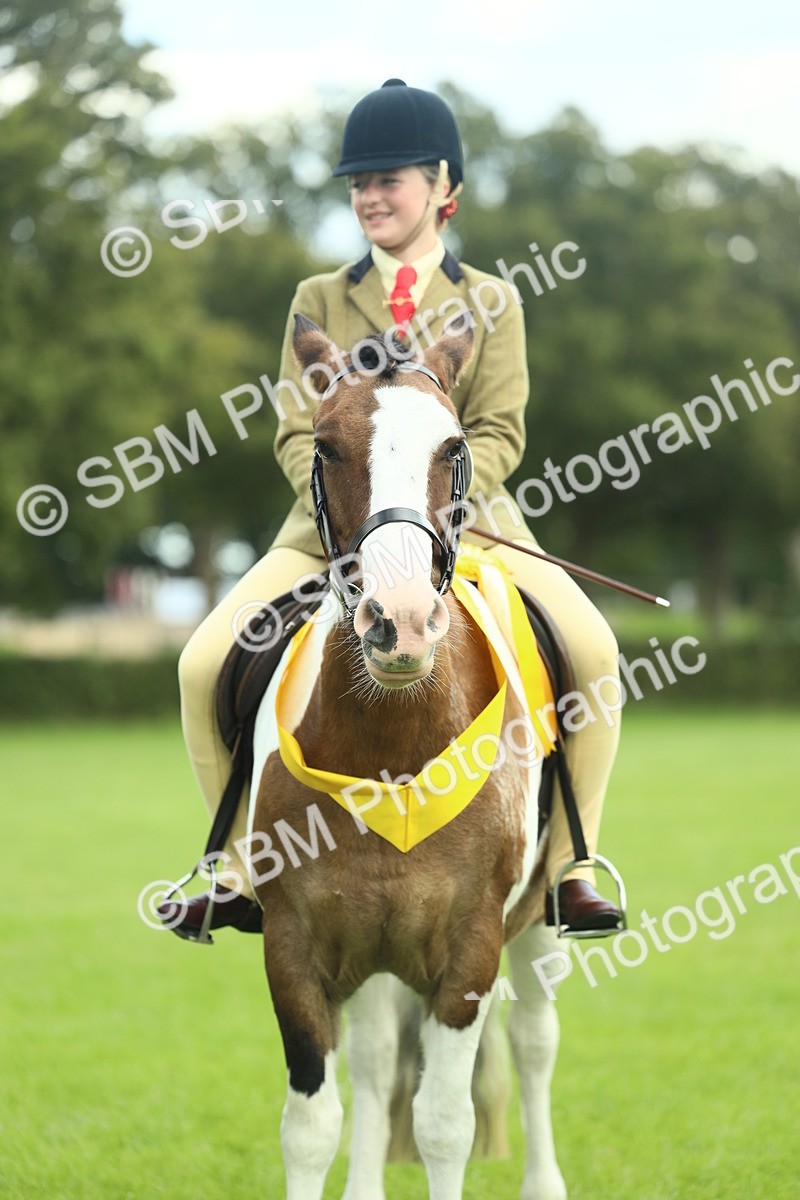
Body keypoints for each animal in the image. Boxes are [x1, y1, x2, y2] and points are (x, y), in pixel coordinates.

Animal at [246, 314, 568, 1200]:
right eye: (324, 445)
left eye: (453, 445)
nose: (401, 623)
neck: (390, 746)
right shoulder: (295, 944)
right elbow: (310, 1126)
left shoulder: (470, 949)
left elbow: (443, 1124)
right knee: (376, 1057)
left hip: (541, 918)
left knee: (534, 1043)